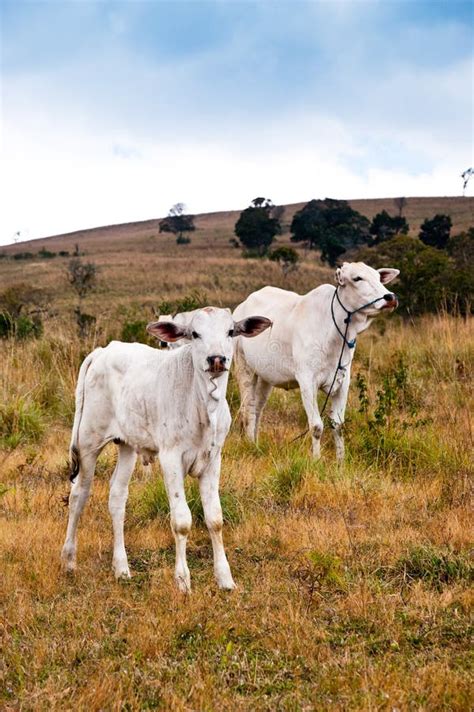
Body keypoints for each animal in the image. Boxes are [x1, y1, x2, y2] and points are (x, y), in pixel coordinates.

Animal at [61, 306, 272, 588]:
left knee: (117, 497)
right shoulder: (171, 458)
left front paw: (225, 579)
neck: (203, 406)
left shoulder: (213, 459)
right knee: (78, 495)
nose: (217, 359)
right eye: (195, 334)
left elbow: (215, 519)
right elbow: (181, 521)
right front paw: (182, 580)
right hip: (88, 442)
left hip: (127, 445)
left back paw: (121, 567)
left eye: (230, 331)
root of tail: (103, 351)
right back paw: (69, 560)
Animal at [233, 264, 400, 458]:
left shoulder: (343, 382)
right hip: (244, 368)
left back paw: (256, 444)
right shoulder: (307, 381)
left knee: (258, 409)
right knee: (248, 409)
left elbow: (338, 425)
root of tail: (241, 308)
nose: (391, 298)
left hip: (265, 377)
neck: (334, 331)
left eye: (378, 278)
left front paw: (340, 461)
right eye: (357, 278)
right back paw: (250, 444)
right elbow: (316, 426)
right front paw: (316, 460)